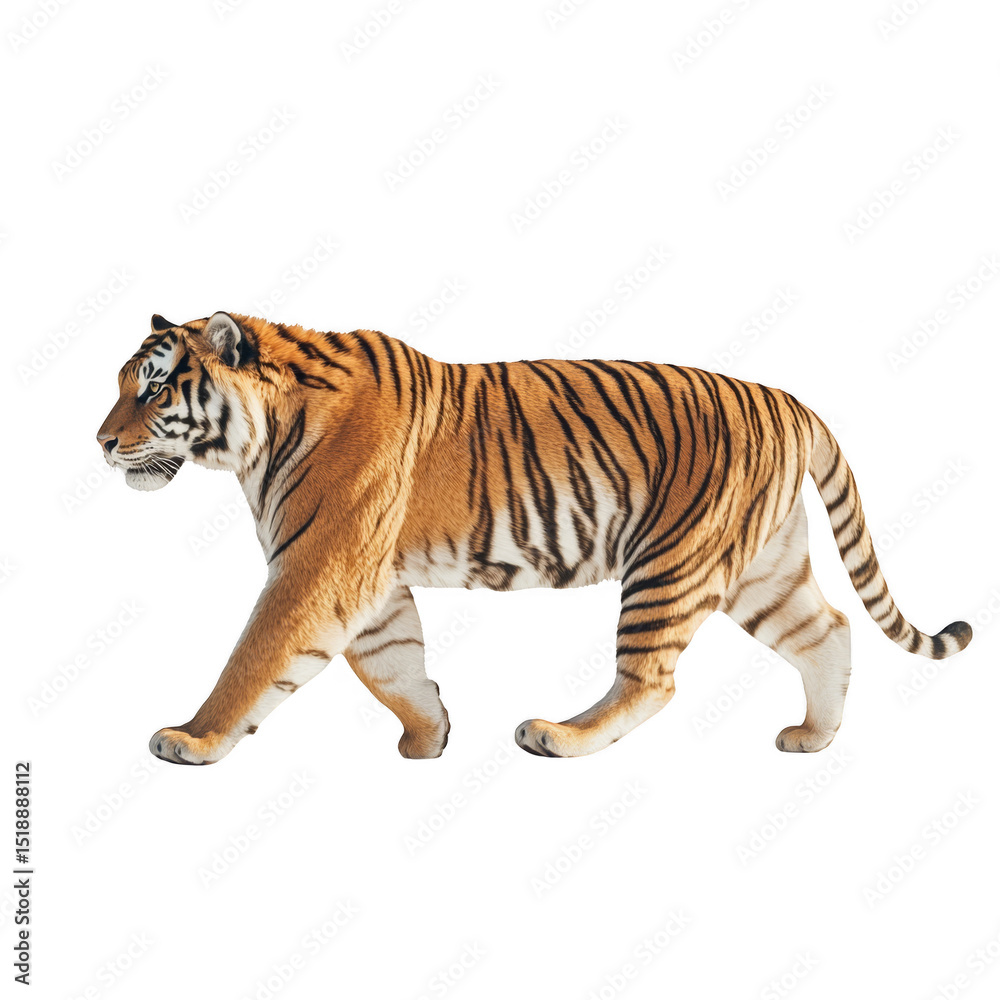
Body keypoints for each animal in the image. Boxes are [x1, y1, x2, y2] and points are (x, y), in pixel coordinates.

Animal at [97, 311, 972, 764]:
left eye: (155, 389)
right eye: (122, 385)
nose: (101, 442)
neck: (259, 435)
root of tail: (790, 400)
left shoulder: (317, 566)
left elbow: (256, 658)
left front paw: (192, 738)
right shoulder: (370, 580)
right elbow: (393, 664)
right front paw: (429, 736)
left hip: (673, 561)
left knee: (653, 679)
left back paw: (558, 735)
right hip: (763, 566)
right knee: (829, 630)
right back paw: (814, 738)